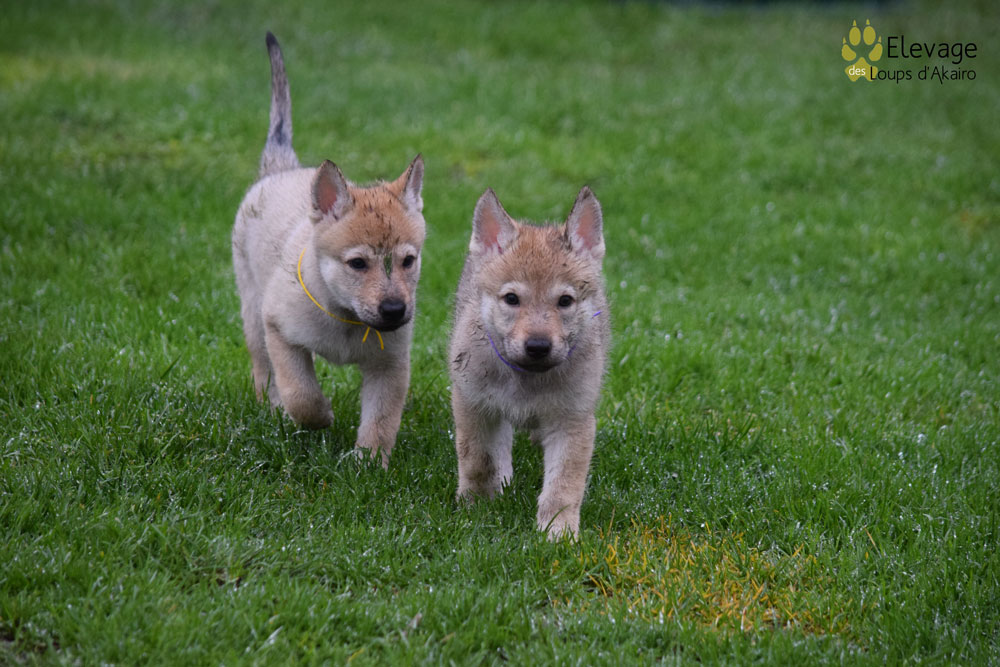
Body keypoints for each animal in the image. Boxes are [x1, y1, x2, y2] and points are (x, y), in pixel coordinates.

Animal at [232, 32, 425, 467]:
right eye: (357, 263)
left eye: (408, 261)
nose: (395, 310)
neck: (348, 319)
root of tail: (280, 168)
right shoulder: (279, 330)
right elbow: (300, 393)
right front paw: (319, 417)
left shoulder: (391, 364)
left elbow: (381, 419)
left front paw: (369, 463)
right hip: (252, 314)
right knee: (263, 372)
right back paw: (271, 409)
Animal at [448, 187, 609, 539]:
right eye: (512, 299)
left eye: (565, 301)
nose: (537, 346)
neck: (526, 381)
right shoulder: (473, 405)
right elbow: (478, 460)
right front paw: (475, 506)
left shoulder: (573, 420)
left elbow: (563, 486)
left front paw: (558, 533)